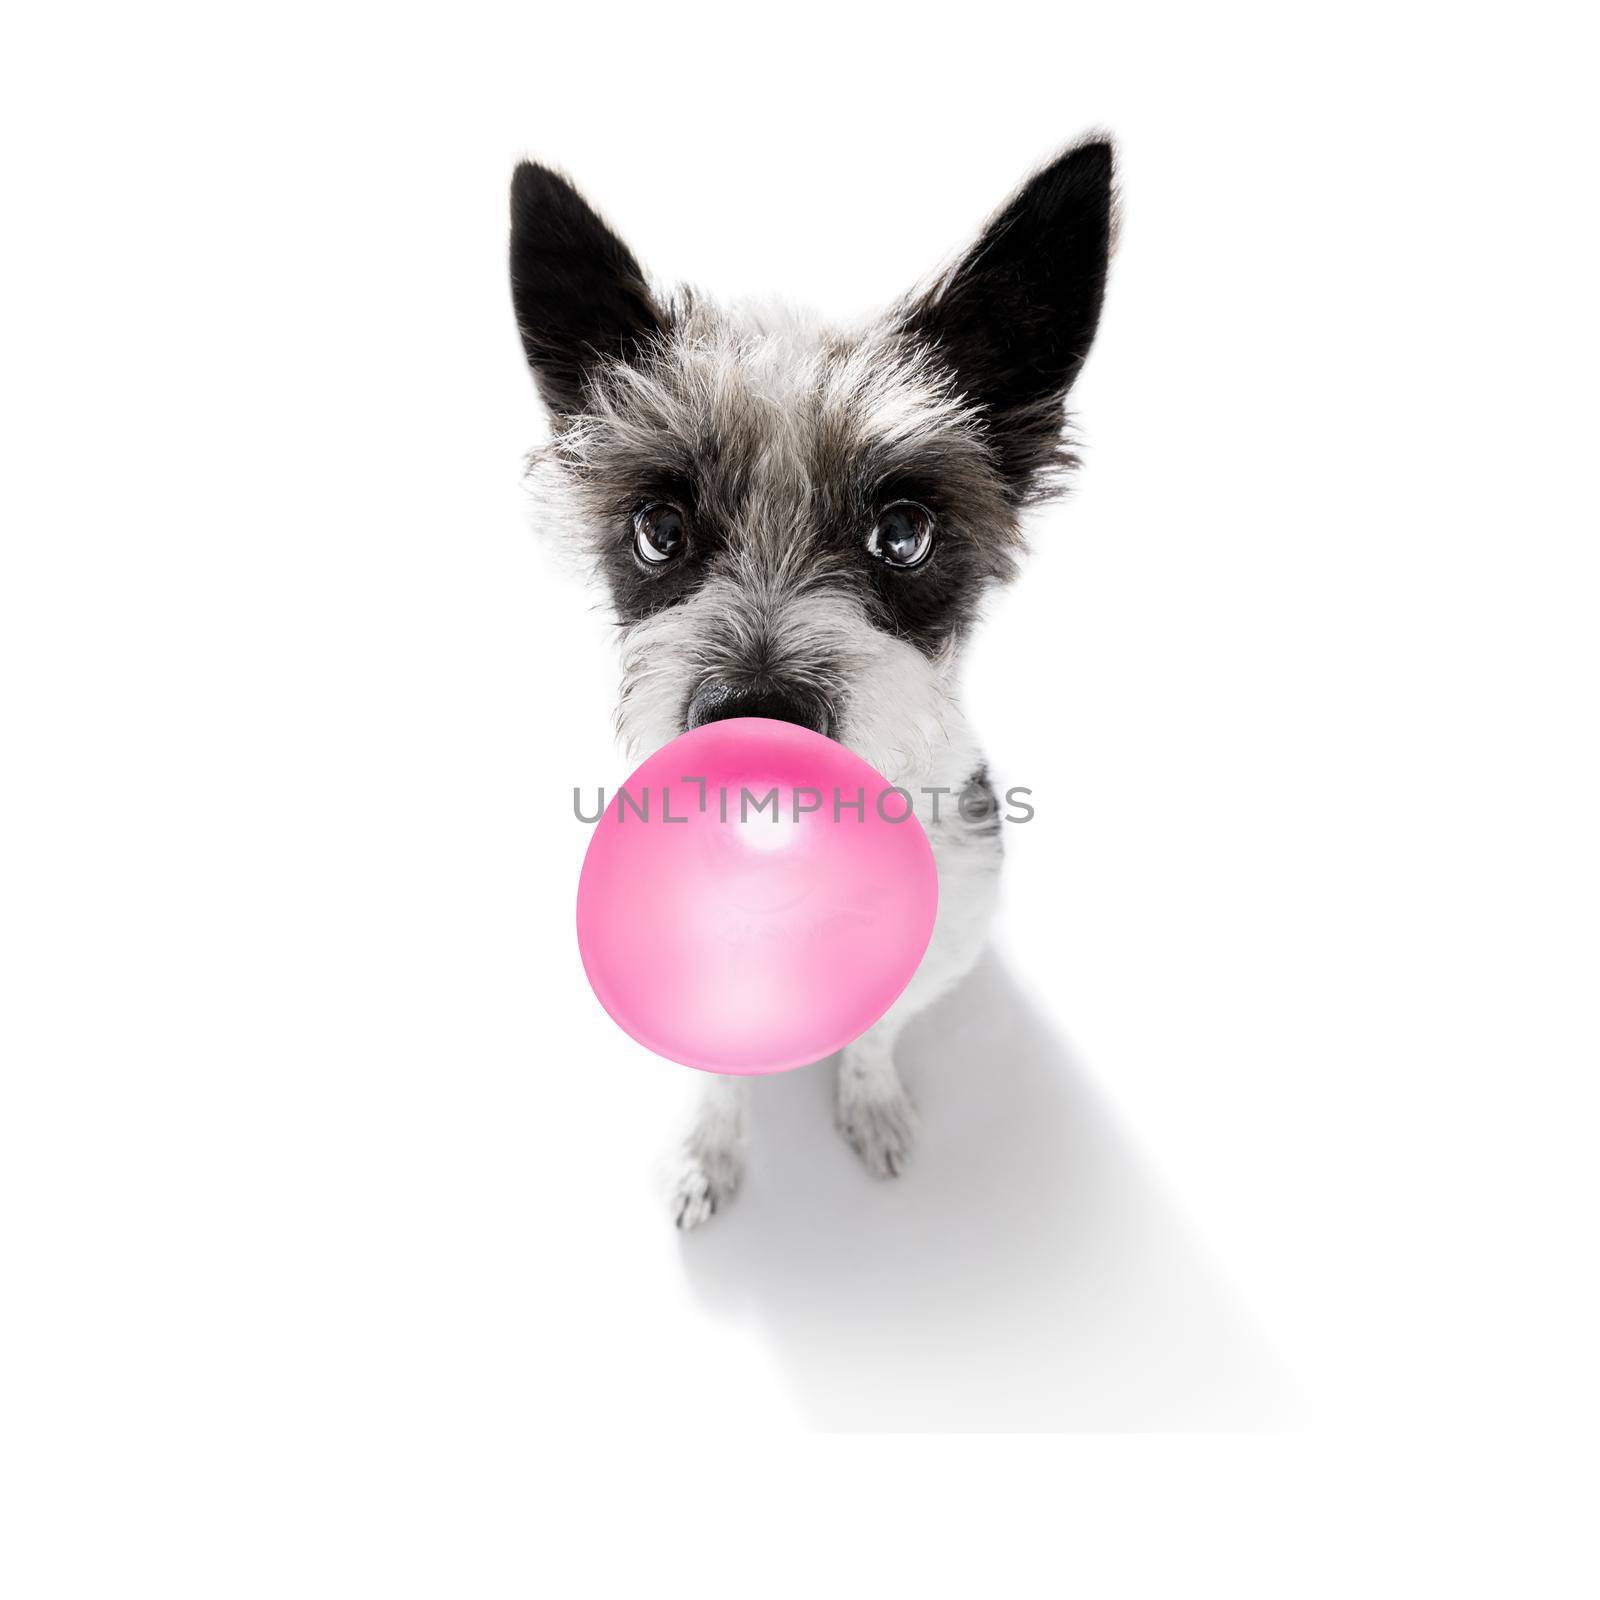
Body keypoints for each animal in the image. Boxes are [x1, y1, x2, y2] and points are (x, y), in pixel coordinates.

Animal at [512, 140, 1113, 1222]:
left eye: (904, 532)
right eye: (658, 528)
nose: (756, 716)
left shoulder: (938, 940)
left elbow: (874, 1033)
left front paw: (869, 1106)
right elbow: (711, 1066)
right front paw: (703, 1154)